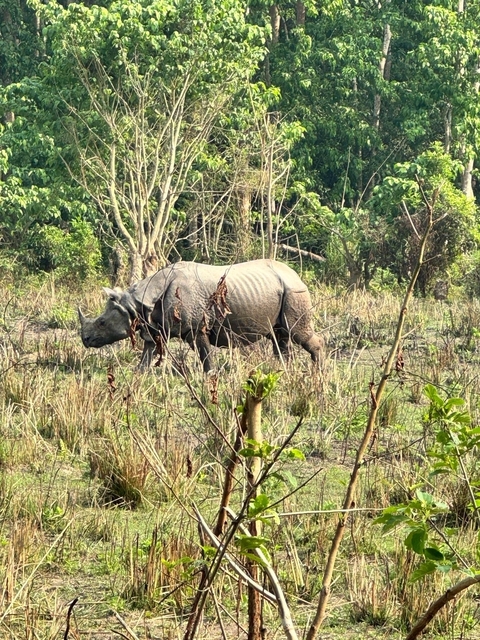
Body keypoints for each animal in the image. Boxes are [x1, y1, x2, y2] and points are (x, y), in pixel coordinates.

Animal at [78, 259, 323, 372]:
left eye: (102, 323)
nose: (86, 340)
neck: (137, 304)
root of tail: (296, 274)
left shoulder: (195, 327)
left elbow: (204, 352)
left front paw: (210, 375)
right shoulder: (154, 325)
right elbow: (148, 351)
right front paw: (139, 372)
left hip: (294, 291)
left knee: (296, 333)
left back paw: (317, 372)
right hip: (283, 290)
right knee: (280, 337)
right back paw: (284, 370)